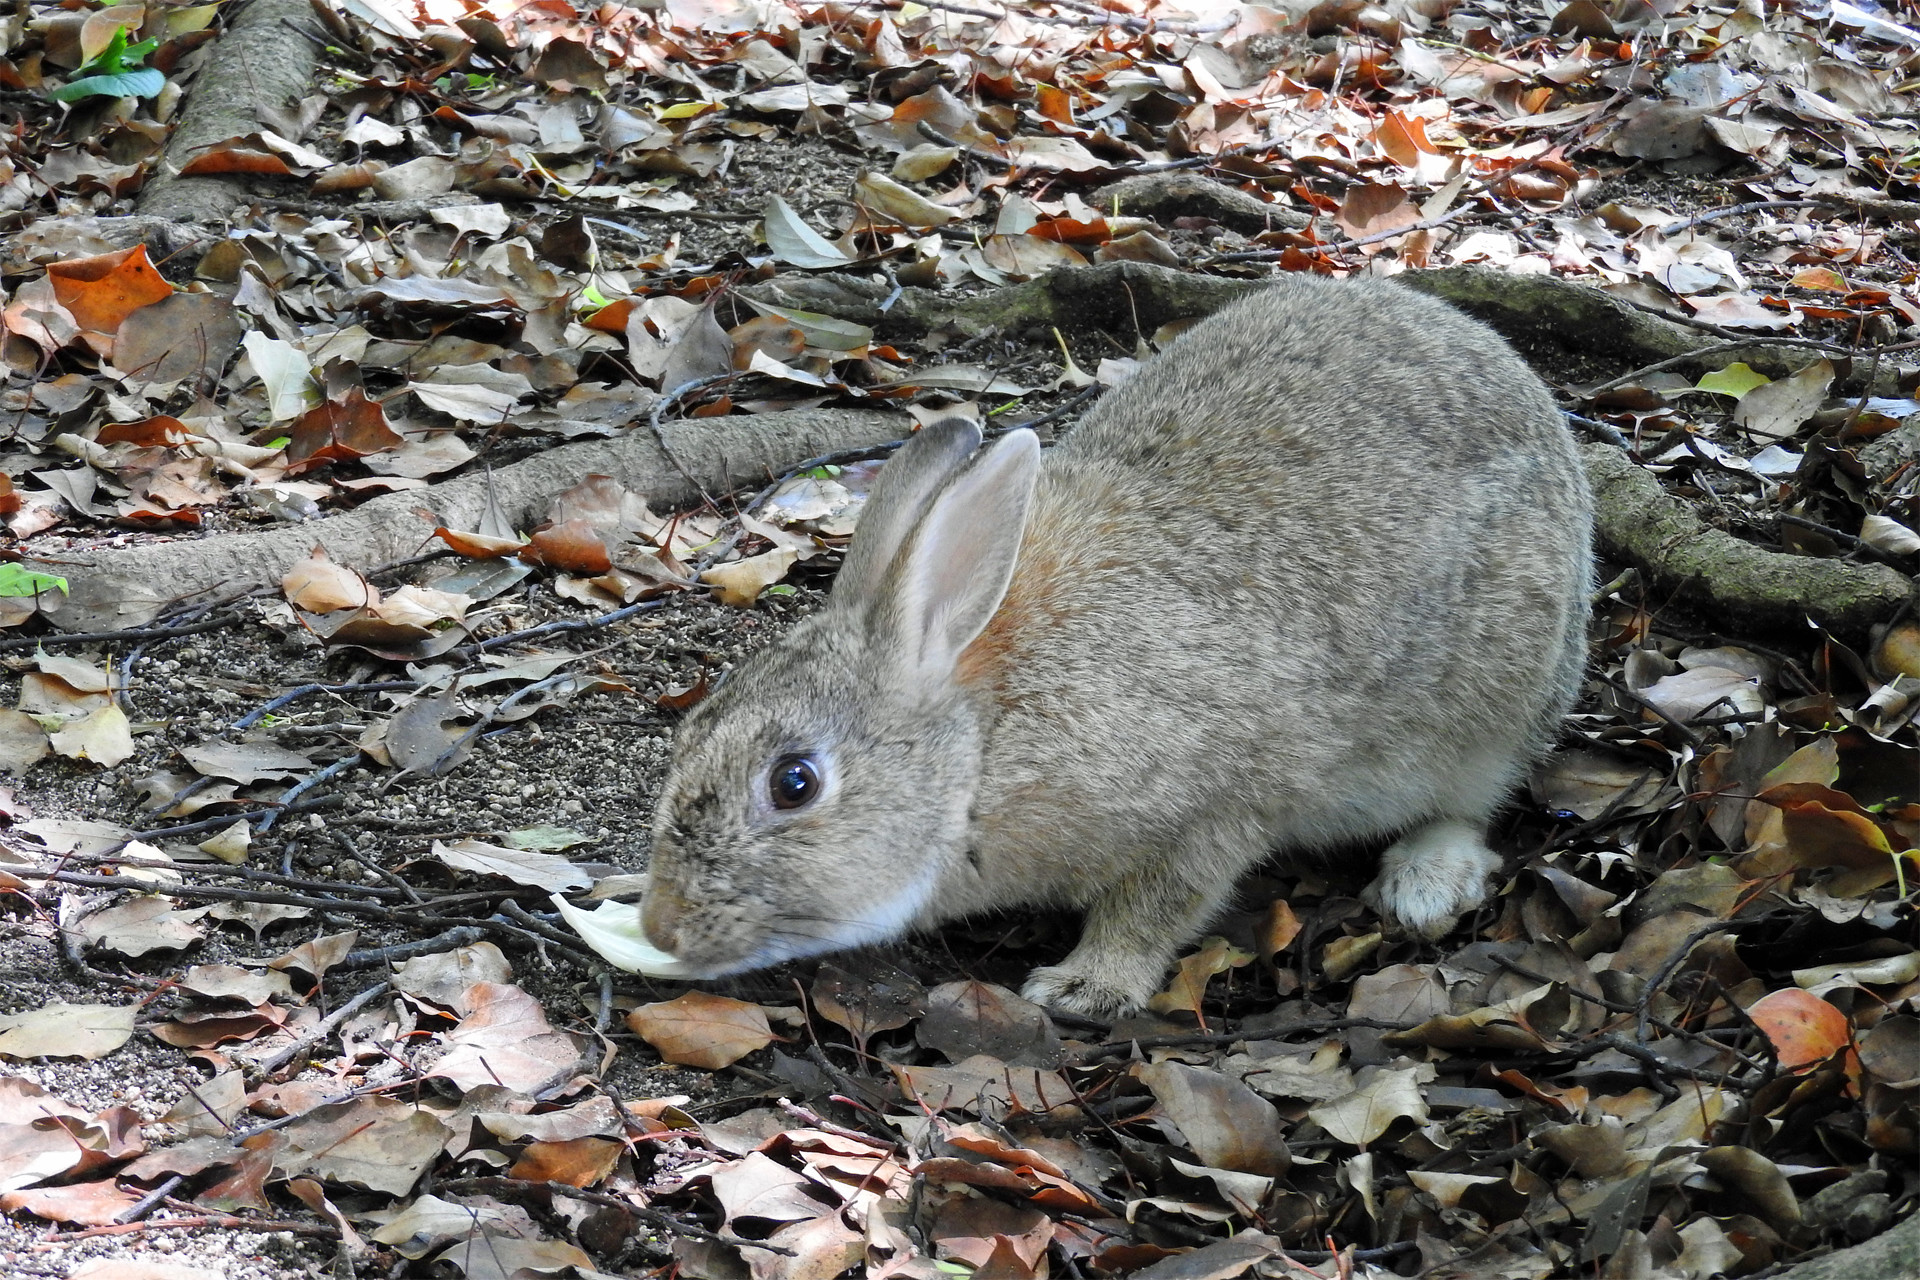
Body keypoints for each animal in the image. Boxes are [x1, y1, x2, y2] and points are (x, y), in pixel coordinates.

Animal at [637, 276, 1597, 1013]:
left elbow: (1158, 907)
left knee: (1473, 797)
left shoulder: (1211, 809)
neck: (983, 744)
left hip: (1498, 699)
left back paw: (1424, 882)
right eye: (685, 737)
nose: (659, 925)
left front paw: (1083, 987)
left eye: (794, 784)